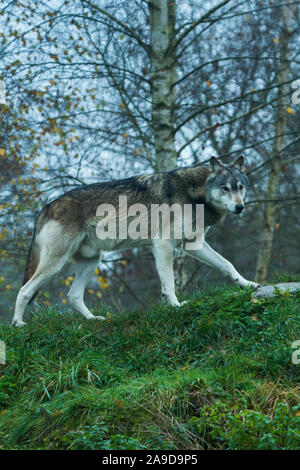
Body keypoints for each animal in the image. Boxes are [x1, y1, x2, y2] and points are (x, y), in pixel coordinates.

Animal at [12, 156, 258, 324]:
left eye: (240, 187)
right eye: (225, 188)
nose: (240, 207)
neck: (194, 194)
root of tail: (45, 208)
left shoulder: (192, 244)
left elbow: (227, 264)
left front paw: (248, 284)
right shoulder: (163, 245)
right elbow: (169, 283)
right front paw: (177, 306)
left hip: (91, 262)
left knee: (73, 296)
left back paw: (93, 320)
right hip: (56, 265)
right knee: (24, 289)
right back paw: (18, 325)